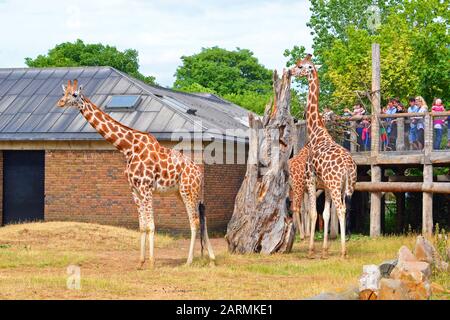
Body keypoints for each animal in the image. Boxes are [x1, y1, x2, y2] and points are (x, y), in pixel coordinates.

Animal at [56, 79, 216, 268]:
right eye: (64, 93)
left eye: (74, 95)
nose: (60, 103)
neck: (128, 148)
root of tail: (199, 172)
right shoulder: (134, 189)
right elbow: (142, 226)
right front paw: (140, 262)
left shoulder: (146, 188)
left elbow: (151, 225)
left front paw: (152, 263)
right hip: (183, 192)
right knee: (202, 218)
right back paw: (211, 258)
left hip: (188, 190)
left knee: (195, 221)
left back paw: (189, 261)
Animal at [288, 55, 358, 258]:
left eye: (300, 66)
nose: (290, 71)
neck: (315, 134)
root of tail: (348, 167)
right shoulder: (325, 186)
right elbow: (325, 214)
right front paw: (325, 250)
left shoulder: (311, 180)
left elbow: (313, 213)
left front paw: (312, 250)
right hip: (348, 187)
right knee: (345, 209)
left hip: (334, 186)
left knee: (340, 209)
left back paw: (343, 252)